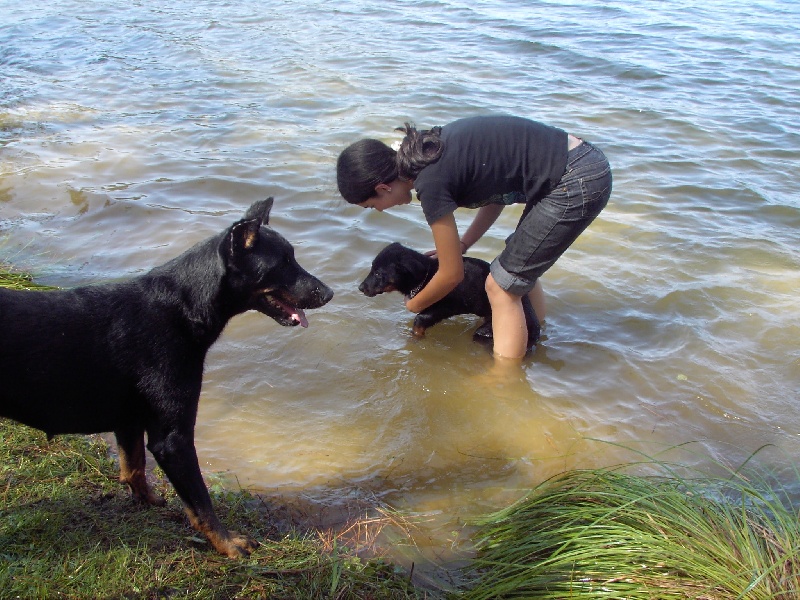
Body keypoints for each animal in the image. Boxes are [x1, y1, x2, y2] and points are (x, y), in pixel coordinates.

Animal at [0, 197, 332, 556]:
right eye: (283, 263)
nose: (329, 293)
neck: (183, 306)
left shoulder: (129, 419)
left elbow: (133, 468)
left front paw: (149, 501)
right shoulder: (173, 438)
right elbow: (200, 502)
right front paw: (229, 544)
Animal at [360, 241, 540, 350]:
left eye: (378, 273)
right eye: (372, 269)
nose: (360, 288)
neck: (428, 275)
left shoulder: (447, 306)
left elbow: (420, 319)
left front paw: (417, 338)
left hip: (488, 331)